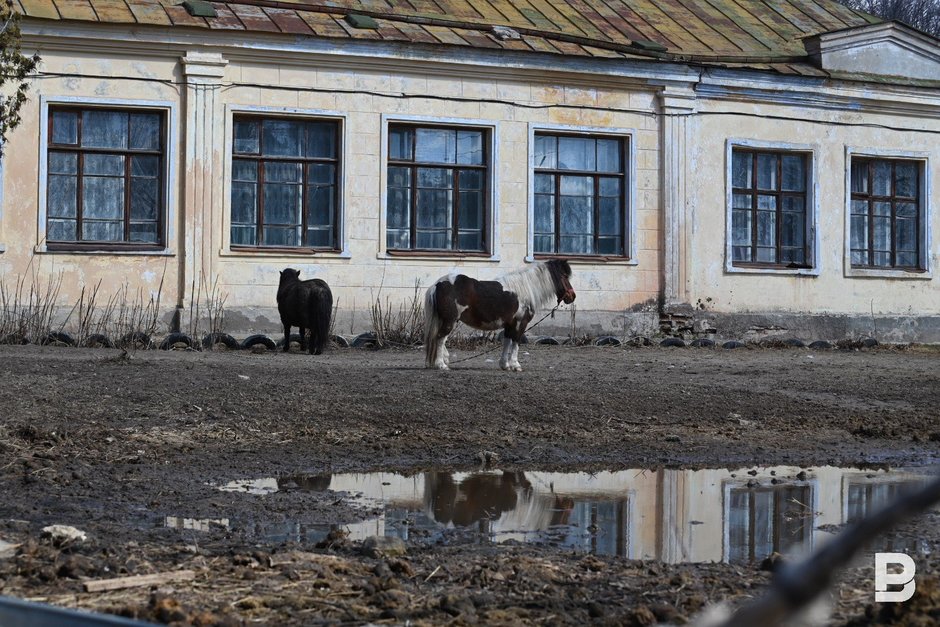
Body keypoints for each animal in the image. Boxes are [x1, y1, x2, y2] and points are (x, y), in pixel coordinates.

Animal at [424, 258, 572, 370]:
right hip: (450, 320)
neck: (525, 289)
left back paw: (444, 360)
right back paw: (441, 364)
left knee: (440, 339)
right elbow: (516, 342)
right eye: (564, 276)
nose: (572, 296)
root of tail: (438, 284)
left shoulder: (509, 324)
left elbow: (507, 342)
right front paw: (515, 365)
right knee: (440, 338)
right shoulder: (521, 323)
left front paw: (505, 365)